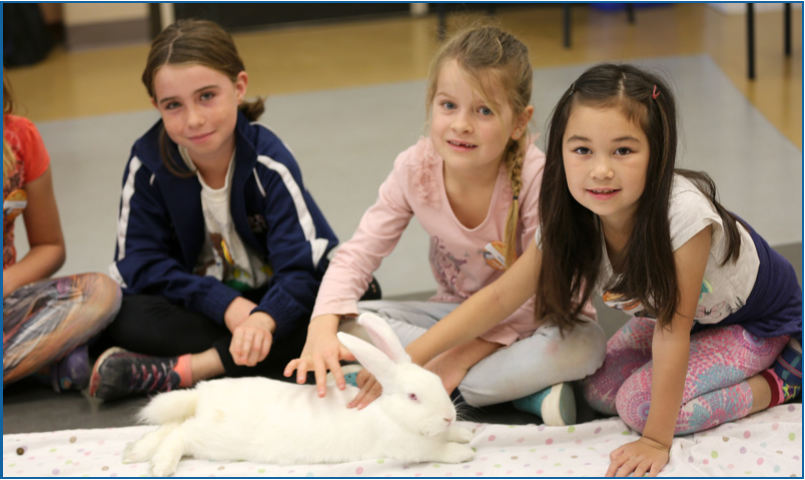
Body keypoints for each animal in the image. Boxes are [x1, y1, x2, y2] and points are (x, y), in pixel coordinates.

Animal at [123, 312, 474, 476]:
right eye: (413, 397)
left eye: (438, 381)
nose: (448, 416)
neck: (390, 413)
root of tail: (202, 397)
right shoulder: (409, 447)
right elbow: (438, 452)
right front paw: (463, 453)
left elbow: (451, 436)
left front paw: (465, 433)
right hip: (212, 437)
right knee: (180, 435)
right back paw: (160, 465)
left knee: (169, 427)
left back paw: (137, 453)